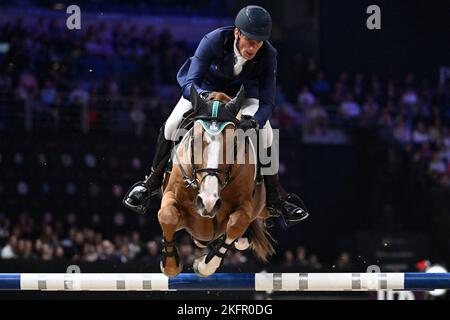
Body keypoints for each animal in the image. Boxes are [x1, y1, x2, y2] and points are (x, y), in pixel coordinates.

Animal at [158, 85, 278, 278]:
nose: (208, 202)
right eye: (194, 141)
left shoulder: (245, 205)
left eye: (234, 144)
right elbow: (167, 216)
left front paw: (204, 266)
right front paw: (170, 266)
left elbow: (236, 224)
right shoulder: (171, 195)